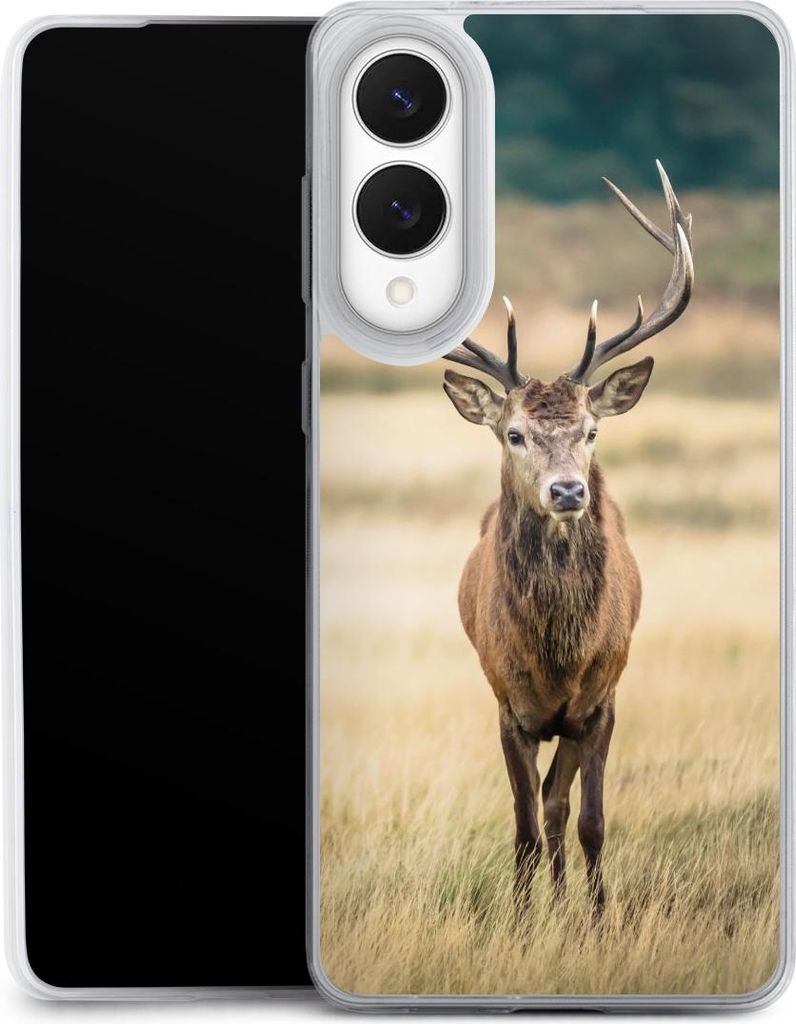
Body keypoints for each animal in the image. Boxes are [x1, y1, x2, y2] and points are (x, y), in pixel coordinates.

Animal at [442, 162, 693, 917]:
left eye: (591, 430)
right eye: (514, 433)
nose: (568, 491)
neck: (557, 654)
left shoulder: (602, 701)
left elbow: (590, 822)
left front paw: (599, 919)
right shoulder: (508, 704)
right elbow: (524, 826)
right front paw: (525, 923)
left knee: (560, 805)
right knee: (542, 809)